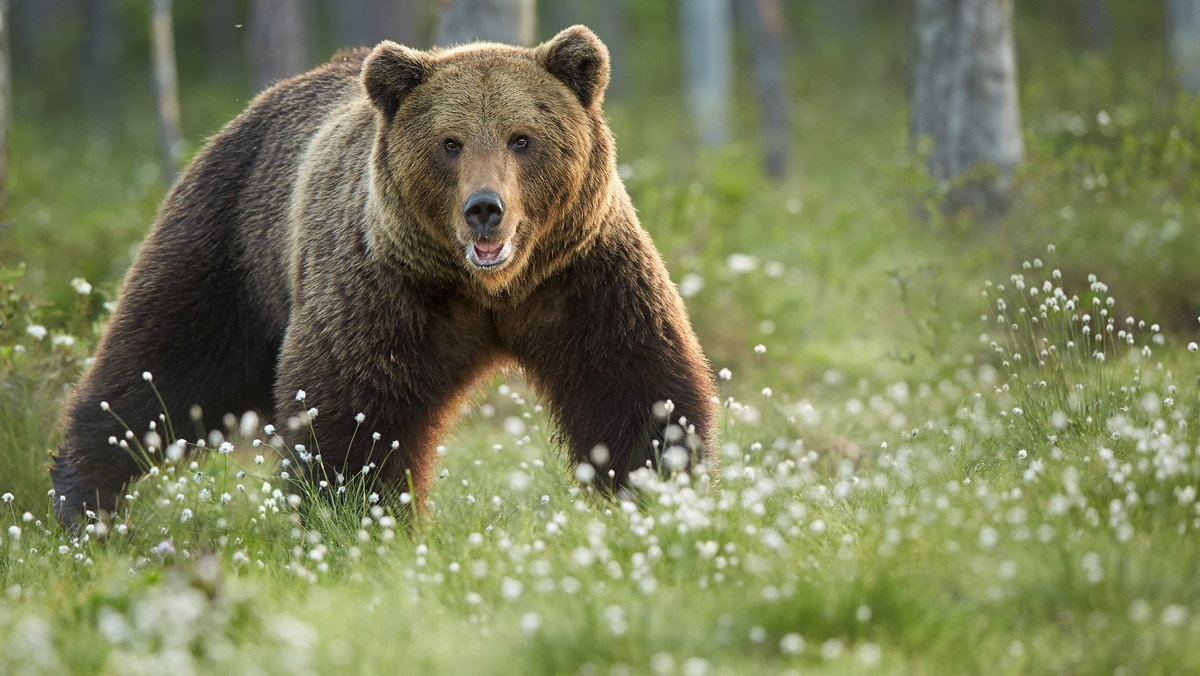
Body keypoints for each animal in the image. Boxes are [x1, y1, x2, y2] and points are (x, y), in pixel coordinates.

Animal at [51, 25, 715, 523]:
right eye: (450, 142)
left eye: (522, 138)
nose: (485, 208)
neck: (490, 290)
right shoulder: (385, 287)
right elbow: (354, 410)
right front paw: (355, 519)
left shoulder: (581, 274)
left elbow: (634, 383)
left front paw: (657, 489)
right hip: (231, 244)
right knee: (161, 365)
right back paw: (82, 499)